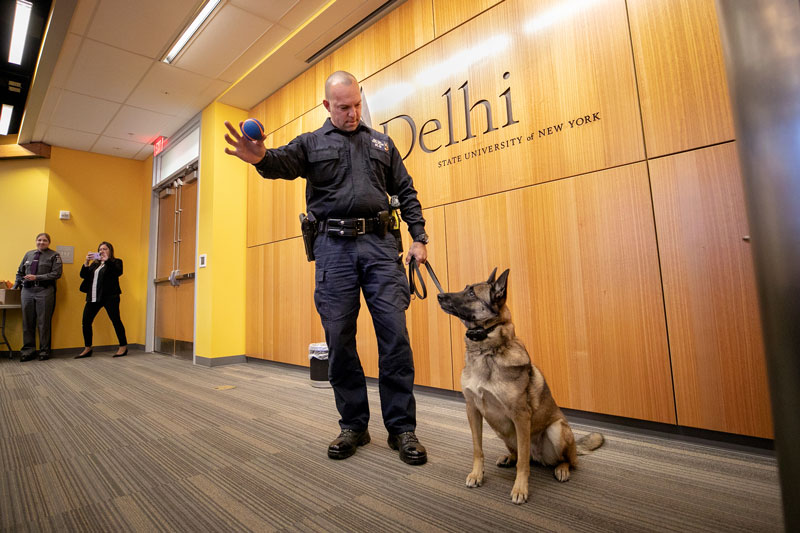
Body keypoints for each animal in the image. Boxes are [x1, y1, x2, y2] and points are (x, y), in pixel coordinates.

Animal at [438, 268, 600, 504]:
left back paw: (562, 469)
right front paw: (477, 475)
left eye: (471, 293)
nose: (439, 296)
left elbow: (522, 463)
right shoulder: (473, 410)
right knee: (520, 454)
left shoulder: (521, 416)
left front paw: (520, 489)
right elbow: (478, 449)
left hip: (556, 430)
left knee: (564, 460)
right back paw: (508, 457)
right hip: (503, 431)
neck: (486, 351)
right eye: (466, 288)